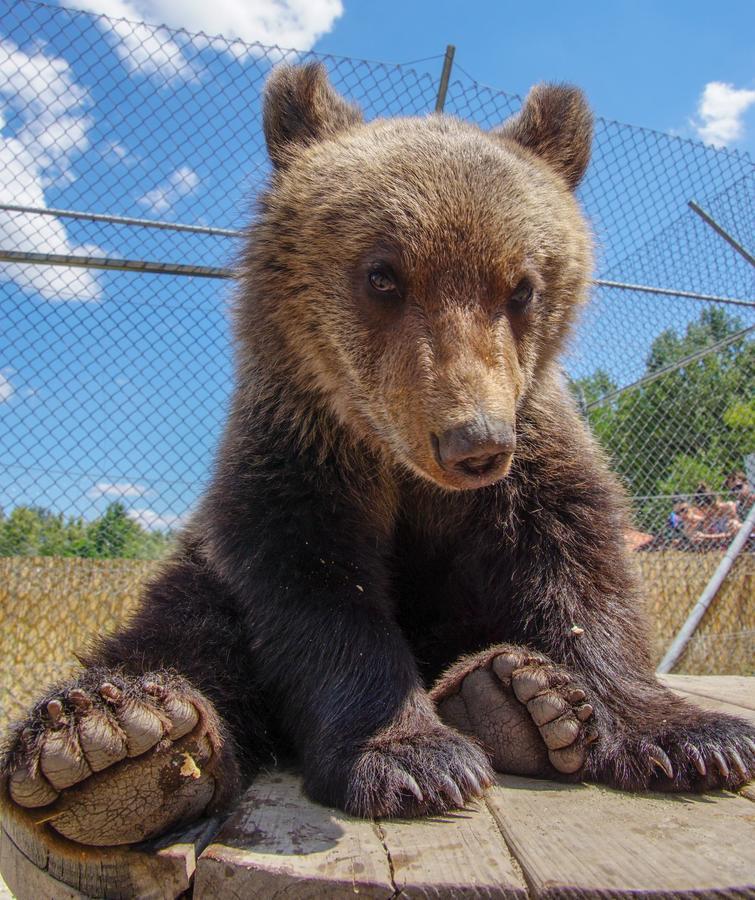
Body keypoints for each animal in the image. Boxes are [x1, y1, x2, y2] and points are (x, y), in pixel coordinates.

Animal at [1, 65, 755, 852]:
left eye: (521, 286)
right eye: (383, 275)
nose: (474, 442)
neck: (398, 464)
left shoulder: (534, 461)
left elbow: (577, 569)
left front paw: (692, 736)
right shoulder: (301, 458)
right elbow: (319, 593)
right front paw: (413, 758)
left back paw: (521, 700)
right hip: (200, 576)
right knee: (182, 634)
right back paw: (114, 743)